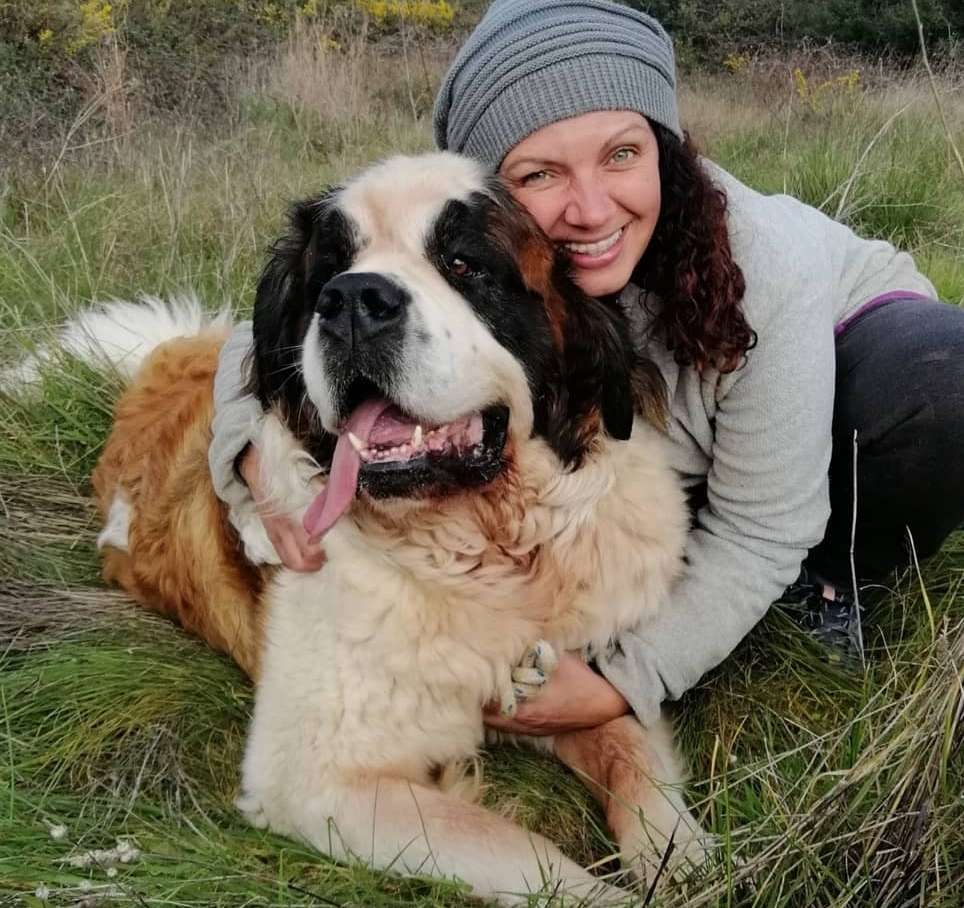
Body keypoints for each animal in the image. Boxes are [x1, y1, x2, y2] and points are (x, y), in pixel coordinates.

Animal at [75, 154, 704, 900]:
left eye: (464, 263)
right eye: (328, 270)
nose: (350, 301)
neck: (488, 552)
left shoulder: (573, 679)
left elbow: (629, 750)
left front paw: (683, 853)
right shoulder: (317, 782)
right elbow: (520, 849)